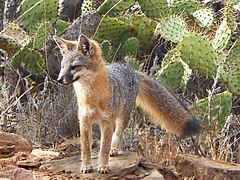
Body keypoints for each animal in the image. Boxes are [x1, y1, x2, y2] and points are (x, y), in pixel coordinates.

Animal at [53, 34, 201, 174]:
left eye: (74, 67)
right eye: (62, 67)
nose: (59, 79)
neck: (91, 97)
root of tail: (131, 70)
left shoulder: (106, 122)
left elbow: (104, 148)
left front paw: (103, 166)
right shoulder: (84, 121)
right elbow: (85, 149)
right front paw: (86, 166)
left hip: (122, 118)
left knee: (117, 134)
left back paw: (114, 149)